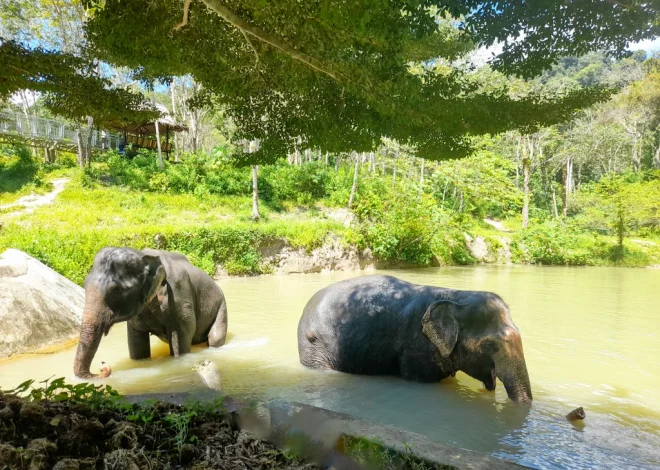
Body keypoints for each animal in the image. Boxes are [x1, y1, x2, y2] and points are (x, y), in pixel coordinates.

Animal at [74, 246, 228, 378]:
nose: (102, 367)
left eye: (115, 291)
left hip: (221, 305)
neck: (142, 255)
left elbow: (181, 338)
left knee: (215, 338)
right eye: (84, 283)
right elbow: (137, 345)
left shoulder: (179, 297)